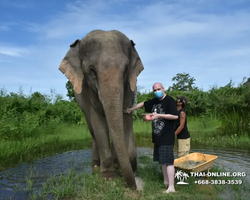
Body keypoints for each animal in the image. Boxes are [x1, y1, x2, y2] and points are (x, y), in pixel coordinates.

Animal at [58, 29, 144, 189]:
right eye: (92, 70)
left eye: (126, 69)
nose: (135, 186)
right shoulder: (87, 91)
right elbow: (98, 123)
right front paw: (108, 178)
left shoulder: (128, 88)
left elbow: (123, 123)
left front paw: (123, 165)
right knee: (93, 132)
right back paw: (96, 166)